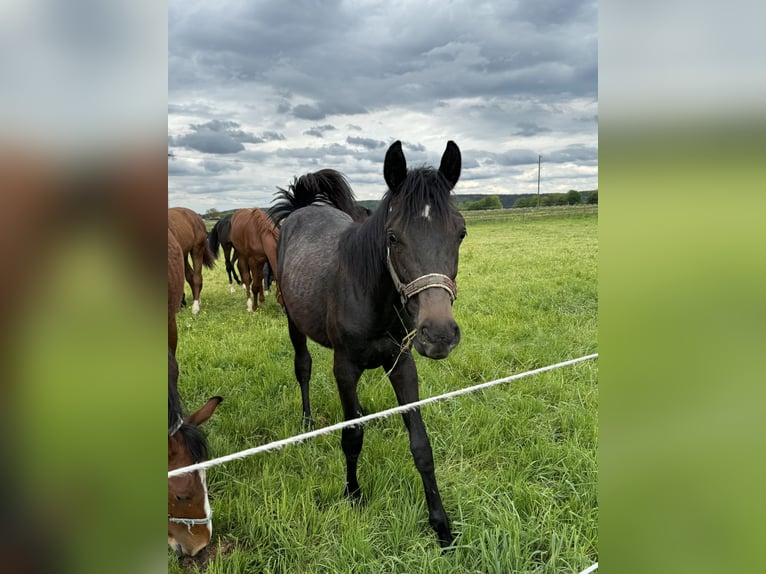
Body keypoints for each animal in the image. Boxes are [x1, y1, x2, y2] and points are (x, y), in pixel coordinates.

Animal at [270, 141, 468, 548]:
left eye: (460, 233)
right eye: (392, 237)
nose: (438, 335)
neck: (371, 295)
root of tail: (301, 210)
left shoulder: (402, 364)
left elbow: (421, 445)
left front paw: (441, 526)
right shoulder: (344, 369)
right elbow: (352, 435)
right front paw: (353, 494)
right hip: (293, 322)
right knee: (303, 367)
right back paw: (307, 421)